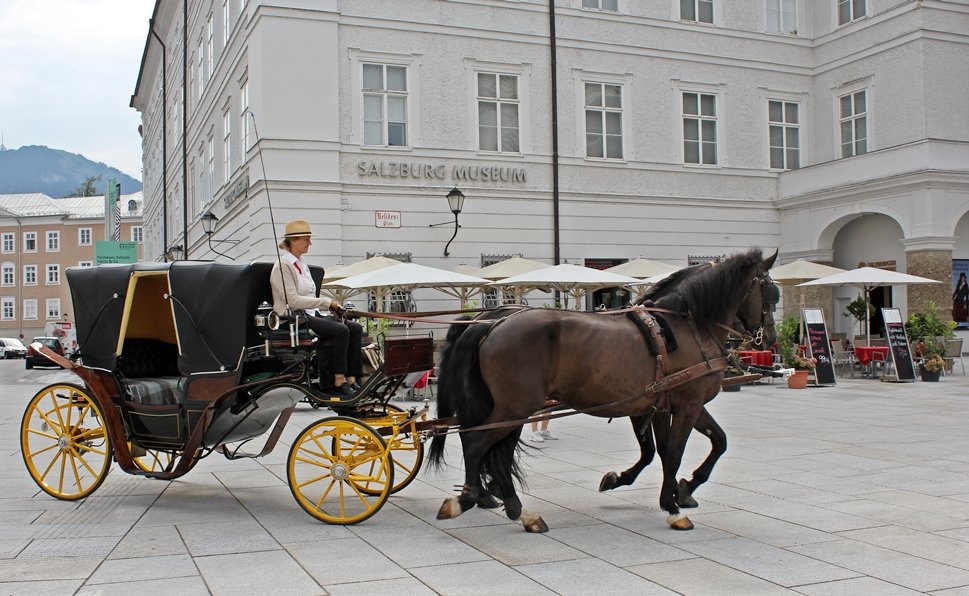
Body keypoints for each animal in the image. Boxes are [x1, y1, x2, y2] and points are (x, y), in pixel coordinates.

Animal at [428, 247, 776, 532]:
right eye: (771, 292)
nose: (769, 339)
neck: (685, 326)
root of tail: (492, 322)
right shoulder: (687, 404)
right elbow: (676, 453)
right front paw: (674, 505)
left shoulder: (657, 405)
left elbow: (684, 448)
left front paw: (673, 489)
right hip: (516, 406)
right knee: (476, 443)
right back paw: (477, 501)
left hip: (511, 408)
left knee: (495, 451)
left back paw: (510, 506)